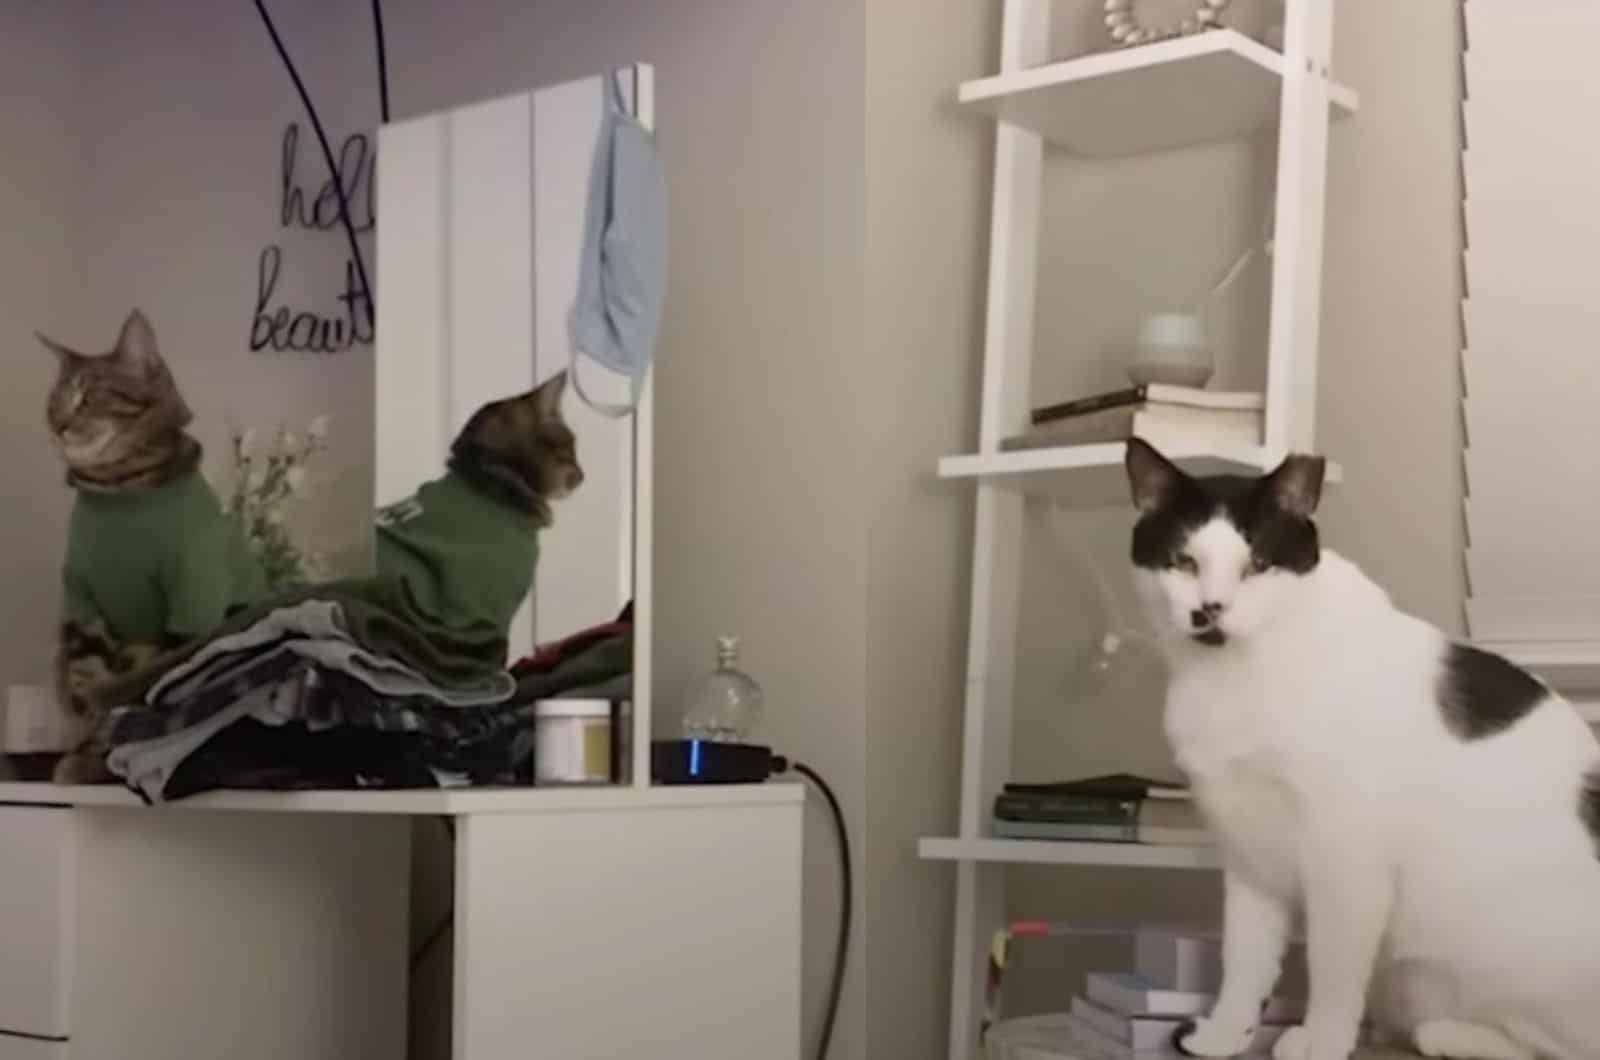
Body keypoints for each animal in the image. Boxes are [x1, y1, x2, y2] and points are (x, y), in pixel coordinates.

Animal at [39, 307, 265, 781]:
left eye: (89, 397)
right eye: (53, 402)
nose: (59, 426)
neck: (120, 490)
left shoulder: (191, 601)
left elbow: (149, 694)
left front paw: (104, 762)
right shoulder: (82, 609)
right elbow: (89, 683)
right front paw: (86, 756)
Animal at [1126, 438, 1600, 1060]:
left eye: (1257, 564)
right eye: (1183, 562)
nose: (1211, 610)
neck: (1233, 677)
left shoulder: (1346, 861)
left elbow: (1332, 968)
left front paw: (1322, 1041)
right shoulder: (1249, 859)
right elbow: (1244, 963)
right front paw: (1226, 1035)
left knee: (1564, 1046)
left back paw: (1447, 1034)